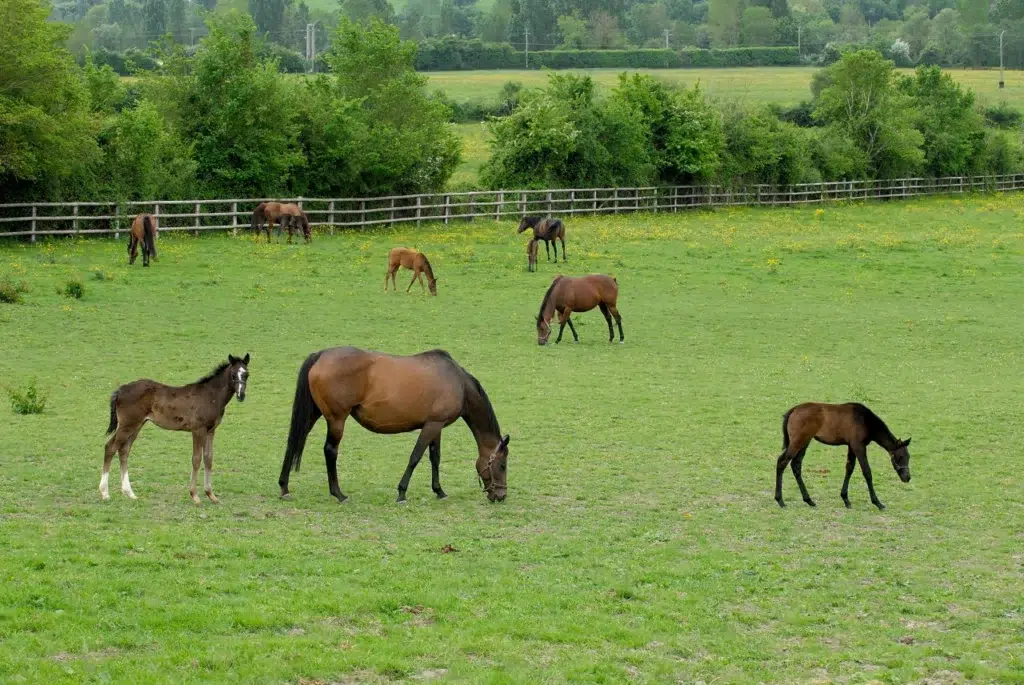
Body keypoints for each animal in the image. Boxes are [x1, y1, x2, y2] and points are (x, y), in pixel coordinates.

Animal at [101, 354, 250, 504]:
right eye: (233, 374)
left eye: (246, 374)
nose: (241, 396)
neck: (210, 396)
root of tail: (121, 390)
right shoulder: (198, 430)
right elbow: (196, 459)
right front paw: (195, 496)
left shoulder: (211, 430)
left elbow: (208, 459)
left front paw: (211, 495)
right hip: (128, 424)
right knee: (110, 447)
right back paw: (105, 493)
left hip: (137, 425)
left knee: (124, 450)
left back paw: (129, 493)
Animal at [278, 347, 510, 504]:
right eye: (502, 465)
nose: (501, 495)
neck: (457, 382)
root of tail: (321, 355)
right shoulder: (431, 426)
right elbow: (415, 457)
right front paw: (401, 492)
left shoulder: (436, 426)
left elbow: (435, 458)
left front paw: (439, 491)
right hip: (336, 419)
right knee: (330, 451)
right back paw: (339, 494)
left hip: (313, 414)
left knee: (294, 441)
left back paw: (284, 487)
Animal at [775, 402, 912, 510]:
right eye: (900, 457)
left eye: (909, 457)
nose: (907, 478)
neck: (865, 420)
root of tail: (793, 410)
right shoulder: (858, 446)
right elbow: (867, 471)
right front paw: (878, 503)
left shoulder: (851, 446)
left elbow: (849, 468)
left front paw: (845, 499)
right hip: (798, 442)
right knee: (782, 462)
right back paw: (780, 500)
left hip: (804, 442)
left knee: (796, 465)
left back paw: (809, 500)